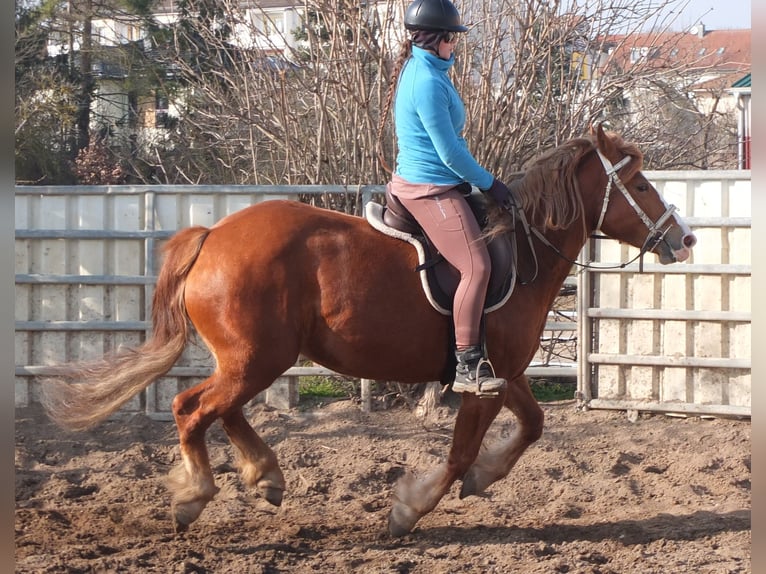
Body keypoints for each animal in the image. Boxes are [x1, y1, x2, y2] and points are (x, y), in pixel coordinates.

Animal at [43, 124, 704, 536]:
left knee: (222, 410)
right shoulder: (479, 382)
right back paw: (195, 497)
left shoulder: (505, 373)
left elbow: (533, 425)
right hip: (255, 359)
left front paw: (484, 478)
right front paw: (410, 509)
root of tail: (212, 236)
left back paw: (265, 475)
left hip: (255, 360)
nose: (684, 238)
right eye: (639, 185)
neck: (521, 248)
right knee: (191, 409)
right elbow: (460, 453)